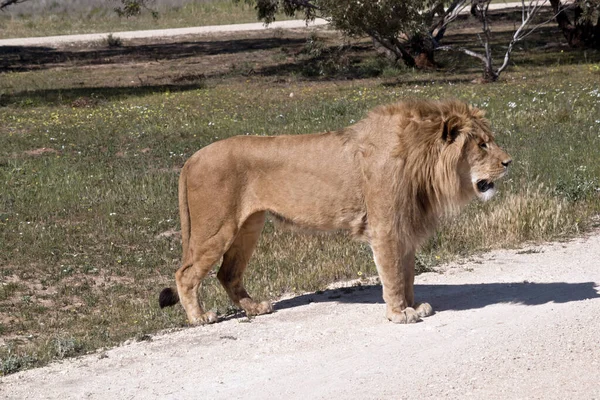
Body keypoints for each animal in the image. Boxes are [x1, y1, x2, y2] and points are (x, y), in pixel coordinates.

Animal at [158, 98, 510, 324]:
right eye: (481, 145)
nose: (509, 162)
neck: (421, 162)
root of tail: (191, 158)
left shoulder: (404, 227)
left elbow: (407, 274)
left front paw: (413, 306)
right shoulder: (385, 227)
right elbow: (393, 274)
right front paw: (399, 314)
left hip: (249, 227)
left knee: (227, 273)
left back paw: (255, 308)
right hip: (216, 227)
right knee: (186, 273)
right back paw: (200, 317)